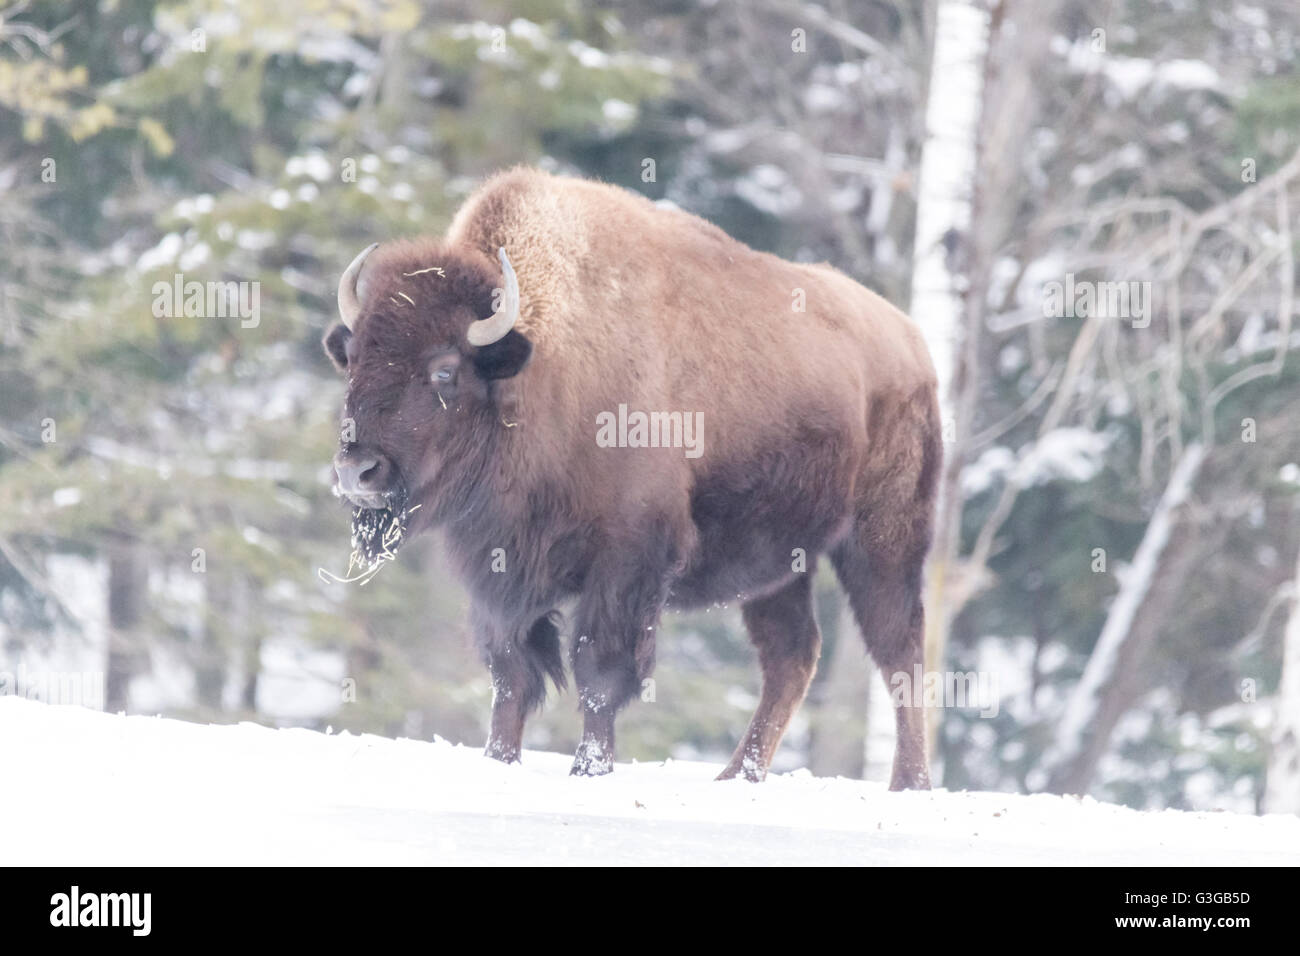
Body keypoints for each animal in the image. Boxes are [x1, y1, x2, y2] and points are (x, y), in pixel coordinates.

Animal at [321, 167, 941, 790]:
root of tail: (911, 342)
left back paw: (908, 784)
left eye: (445, 369)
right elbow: (511, 676)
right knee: (792, 656)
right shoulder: (500, 573)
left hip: (883, 540)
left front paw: (589, 771)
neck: (544, 366)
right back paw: (735, 777)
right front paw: (499, 761)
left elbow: (599, 670)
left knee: (900, 651)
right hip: (783, 565)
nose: (357, 470)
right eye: (354, 359)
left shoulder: (627, 563)